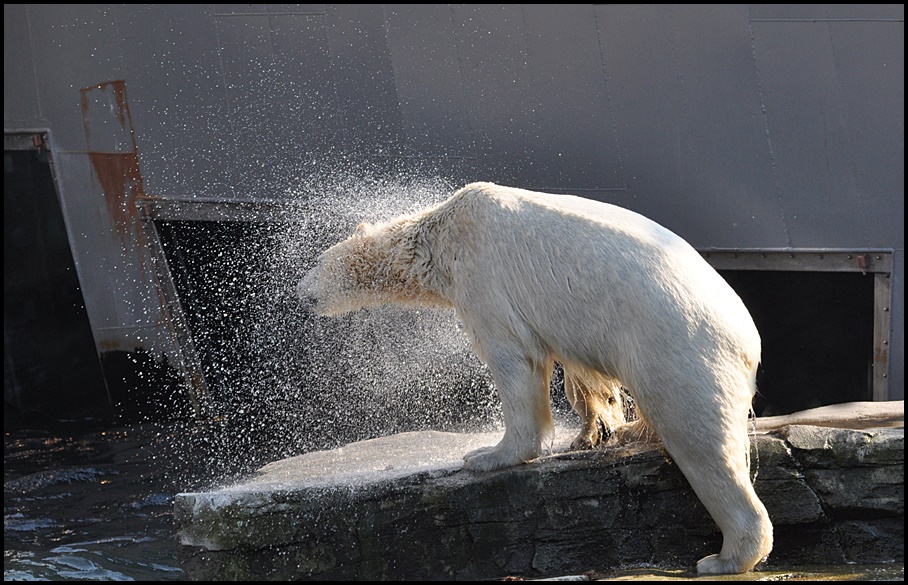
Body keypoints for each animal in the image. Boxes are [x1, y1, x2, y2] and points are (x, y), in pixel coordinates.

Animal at [298, 180, 772, 572]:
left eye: (316, 261)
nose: (300, 293)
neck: (441, 235)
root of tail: (750, 342)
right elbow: (579, 374)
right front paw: (591, 430)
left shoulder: (484, 277)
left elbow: (513, 359)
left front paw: (487, 455)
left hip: (677, 349)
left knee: (700, 440)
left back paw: (724, 557)